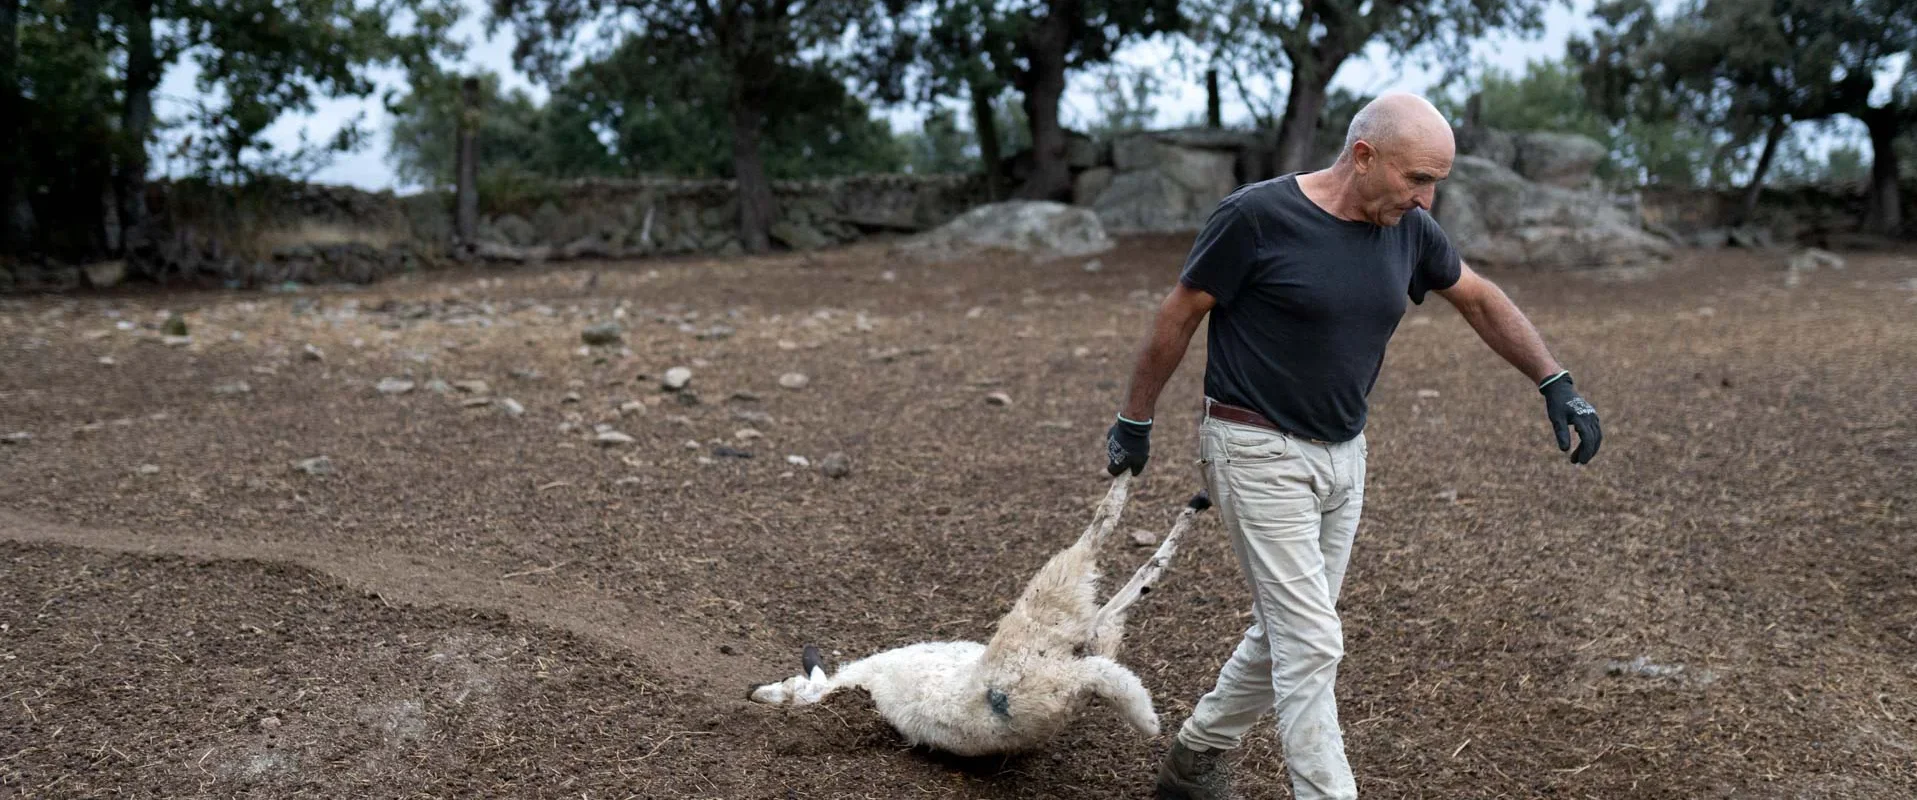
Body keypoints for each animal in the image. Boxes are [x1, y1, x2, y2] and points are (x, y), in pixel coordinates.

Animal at [739, 473, 1203, 755]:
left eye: (786, 682)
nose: (753, 691)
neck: (846, 684)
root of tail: (1072, 682)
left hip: (1062, 627)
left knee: (1115, 580)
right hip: (1049, 615)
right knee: (1111, 560)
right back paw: (1183, 506)